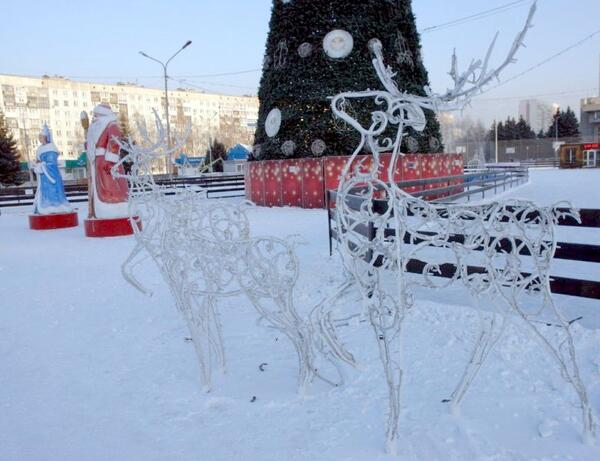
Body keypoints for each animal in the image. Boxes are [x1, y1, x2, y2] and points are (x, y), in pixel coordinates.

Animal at [322, 1, 592, 452]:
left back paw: (587, 427)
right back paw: (456, 399)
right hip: (492, 285)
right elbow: (322, 316)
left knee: (561, 336)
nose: (337, 100)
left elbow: (391, 364)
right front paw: (344, 365)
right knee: (493, 326)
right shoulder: (362, 277)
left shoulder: (386, 286)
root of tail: (554, 219)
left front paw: (391, 438)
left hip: (528, 286)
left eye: (379, 101)